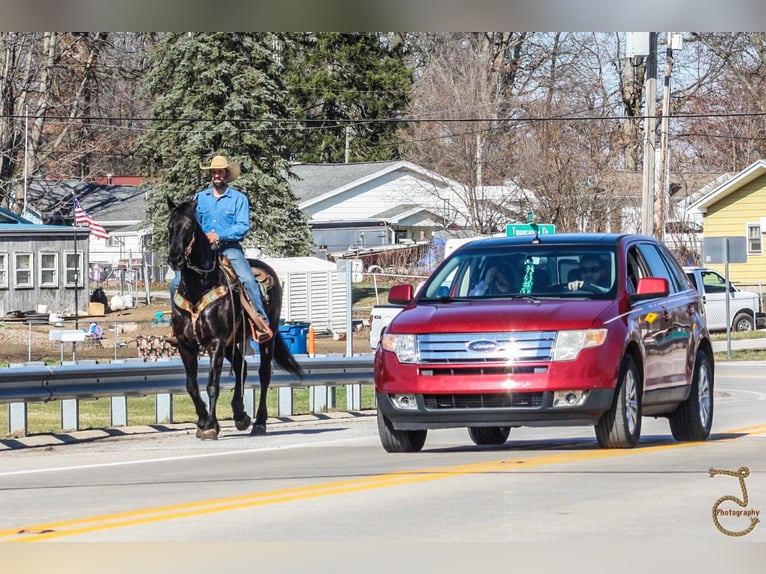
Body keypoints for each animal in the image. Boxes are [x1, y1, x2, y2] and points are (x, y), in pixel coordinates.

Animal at [166, 198, 304, 440]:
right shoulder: (185, 344)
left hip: (265, 337)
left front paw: (210, 425)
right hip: (231, 344)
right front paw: (202, 420)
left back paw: (259, 423)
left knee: (264, 374)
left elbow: (212, 384)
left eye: (190, 227)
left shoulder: (216, 343)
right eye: (169, 227)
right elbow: (191, 385)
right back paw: (240, 415)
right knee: (242, 365)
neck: (198, 288)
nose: (175, 259)